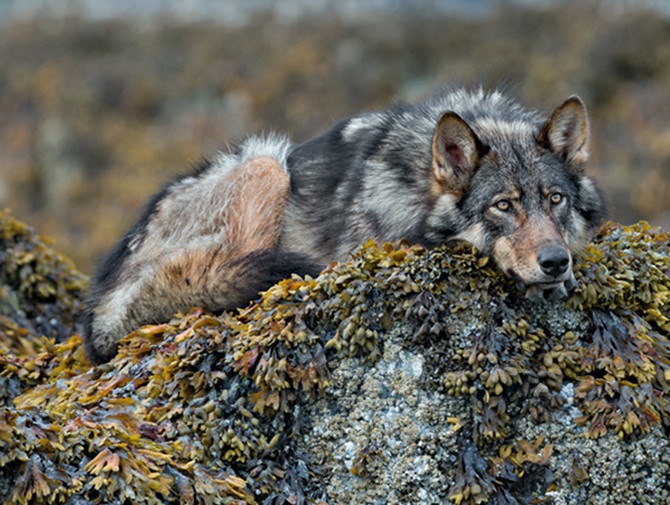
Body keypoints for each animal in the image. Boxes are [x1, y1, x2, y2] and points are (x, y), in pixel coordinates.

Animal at [84, 87, 608, 362]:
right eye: (503, 206)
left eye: (555, 200)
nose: (555, 262)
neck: (414, 187)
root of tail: (99, 307)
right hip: (265, 163)